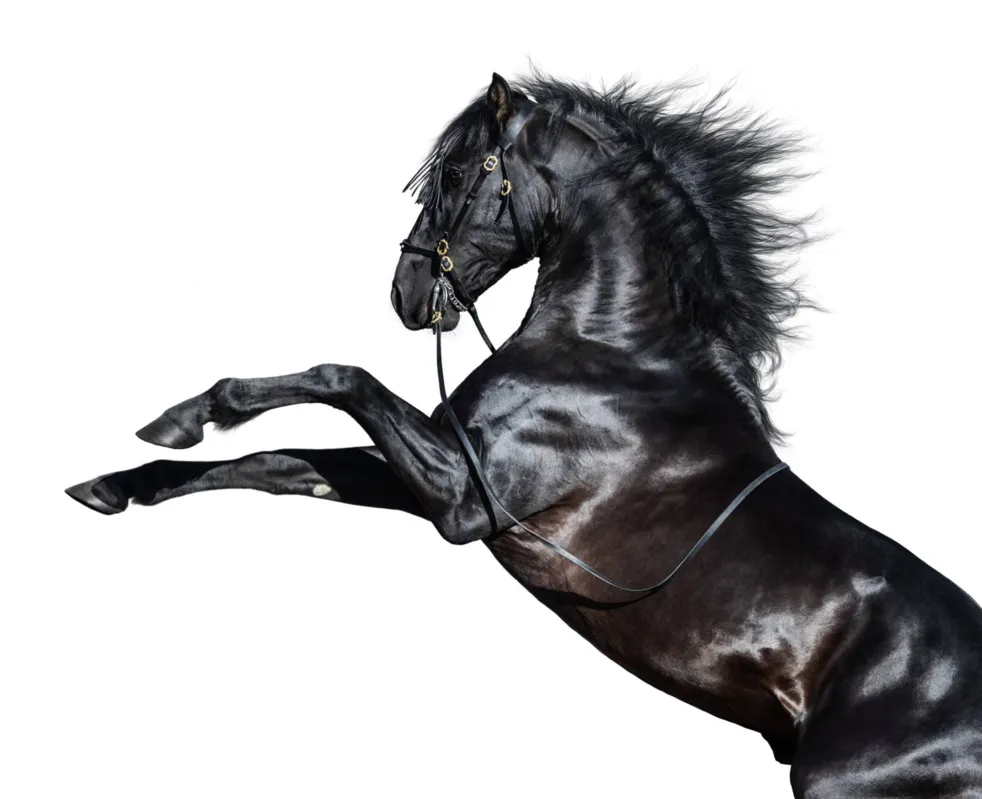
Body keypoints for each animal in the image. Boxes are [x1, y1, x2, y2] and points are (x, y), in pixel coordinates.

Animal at [65, 72, 982, 797]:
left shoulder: (464, 502)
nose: (407, 295)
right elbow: (279, 463)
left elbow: (337, 378)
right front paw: (118, 479)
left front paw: (189, 414)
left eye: (457, 172)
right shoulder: (422, 476)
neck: (615, 354)